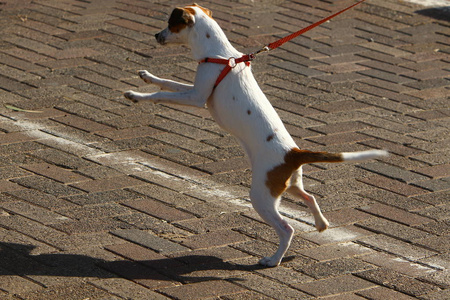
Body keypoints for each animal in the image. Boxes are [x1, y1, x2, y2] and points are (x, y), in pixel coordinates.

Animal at [124, 4, 386, 268]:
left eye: (171, 24)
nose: (156, 36)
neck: (220, 55)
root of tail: (294, 154)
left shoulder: (197, 98)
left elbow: (160, 94)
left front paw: (137, 95)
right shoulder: (194, 90)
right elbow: (167, 82)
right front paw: (146, 76)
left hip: (261, 196)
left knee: (287, 229)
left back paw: (273, 259)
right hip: (287, 185)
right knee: (309, 197)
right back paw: (321, 224)